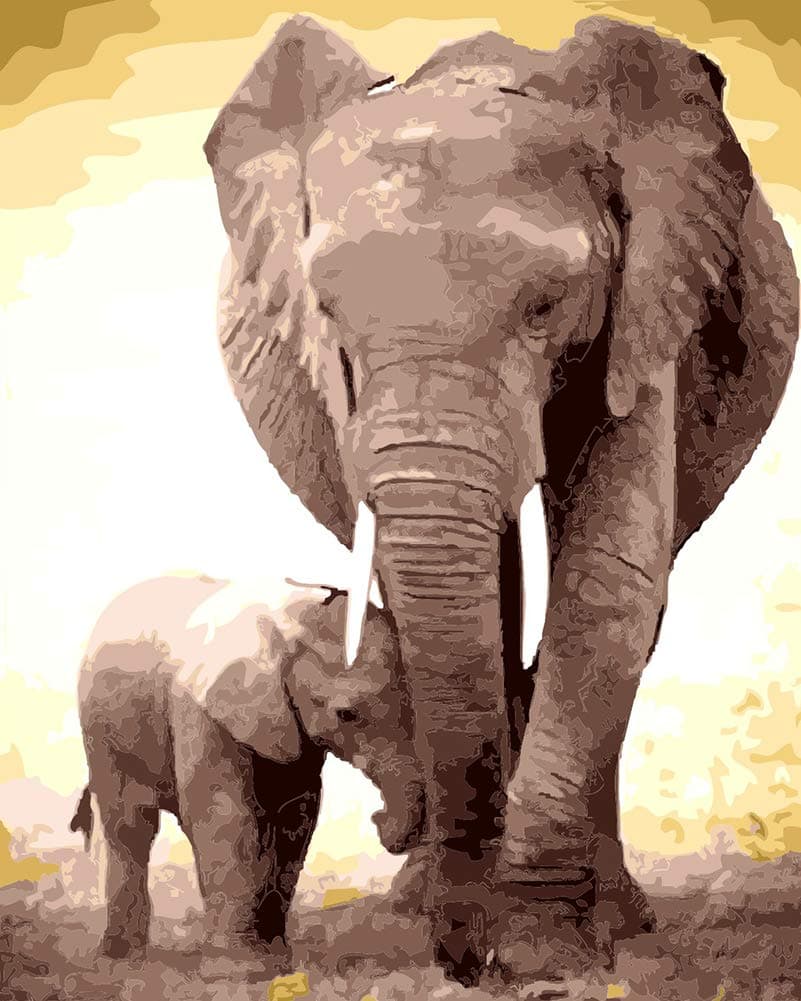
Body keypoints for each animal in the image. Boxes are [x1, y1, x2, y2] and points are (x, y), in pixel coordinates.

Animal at [71, 575, 424, 970]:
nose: (378, 817)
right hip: (100, 731)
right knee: (129, 826)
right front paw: (240, 970)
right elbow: (224, 814)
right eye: (347, 714)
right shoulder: (200, 708)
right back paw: (121, 960)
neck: (289, 624)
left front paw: (276, 960)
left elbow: (294, 819)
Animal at [203, 14, 799, 983]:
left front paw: (544, 943)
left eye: (546, 306)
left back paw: (616, 916)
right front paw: (481, 922)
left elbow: (605, 575)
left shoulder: (645, 304)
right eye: (326, 312)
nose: (464, 956)